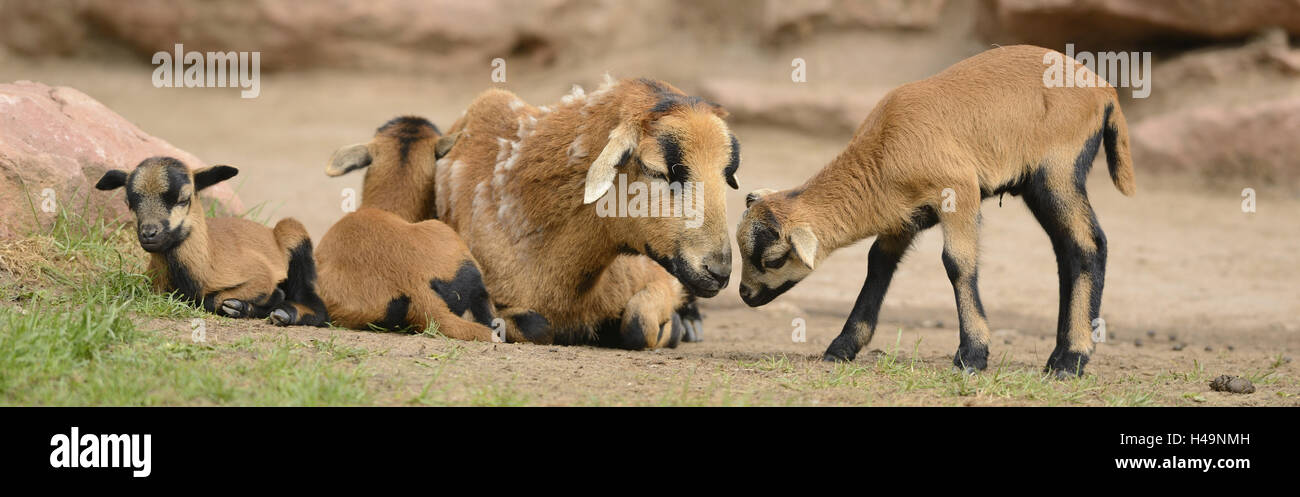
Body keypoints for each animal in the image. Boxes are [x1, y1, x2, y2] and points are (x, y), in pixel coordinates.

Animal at [95, 156, 328, 326]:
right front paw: (245, 306)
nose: (149, 233)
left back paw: (284, 314)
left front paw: (272, 297)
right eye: (129, 202)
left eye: (183, 199)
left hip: (294, 232)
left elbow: (213, 299)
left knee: (318, 308)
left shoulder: (260, 273)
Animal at [431, 76, 740, 349]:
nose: (719, 272)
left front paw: (675, 326)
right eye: (655, 170)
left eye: (727, 174)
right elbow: (535, 326)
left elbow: (637, 324)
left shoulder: (657, 279)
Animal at [735, 45, 1136, 378]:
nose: (745, 294)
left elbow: (957, 263)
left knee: (1087, 246)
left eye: (773, 260)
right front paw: (842, 347)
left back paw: (1071, 361)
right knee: (1067, 251)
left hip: (1057, 172)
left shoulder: (960, 192)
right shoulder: (903, 214)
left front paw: (972, 355)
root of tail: (1105, 91)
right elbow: (878, 263)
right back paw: (1058, 357)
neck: (883, 148)